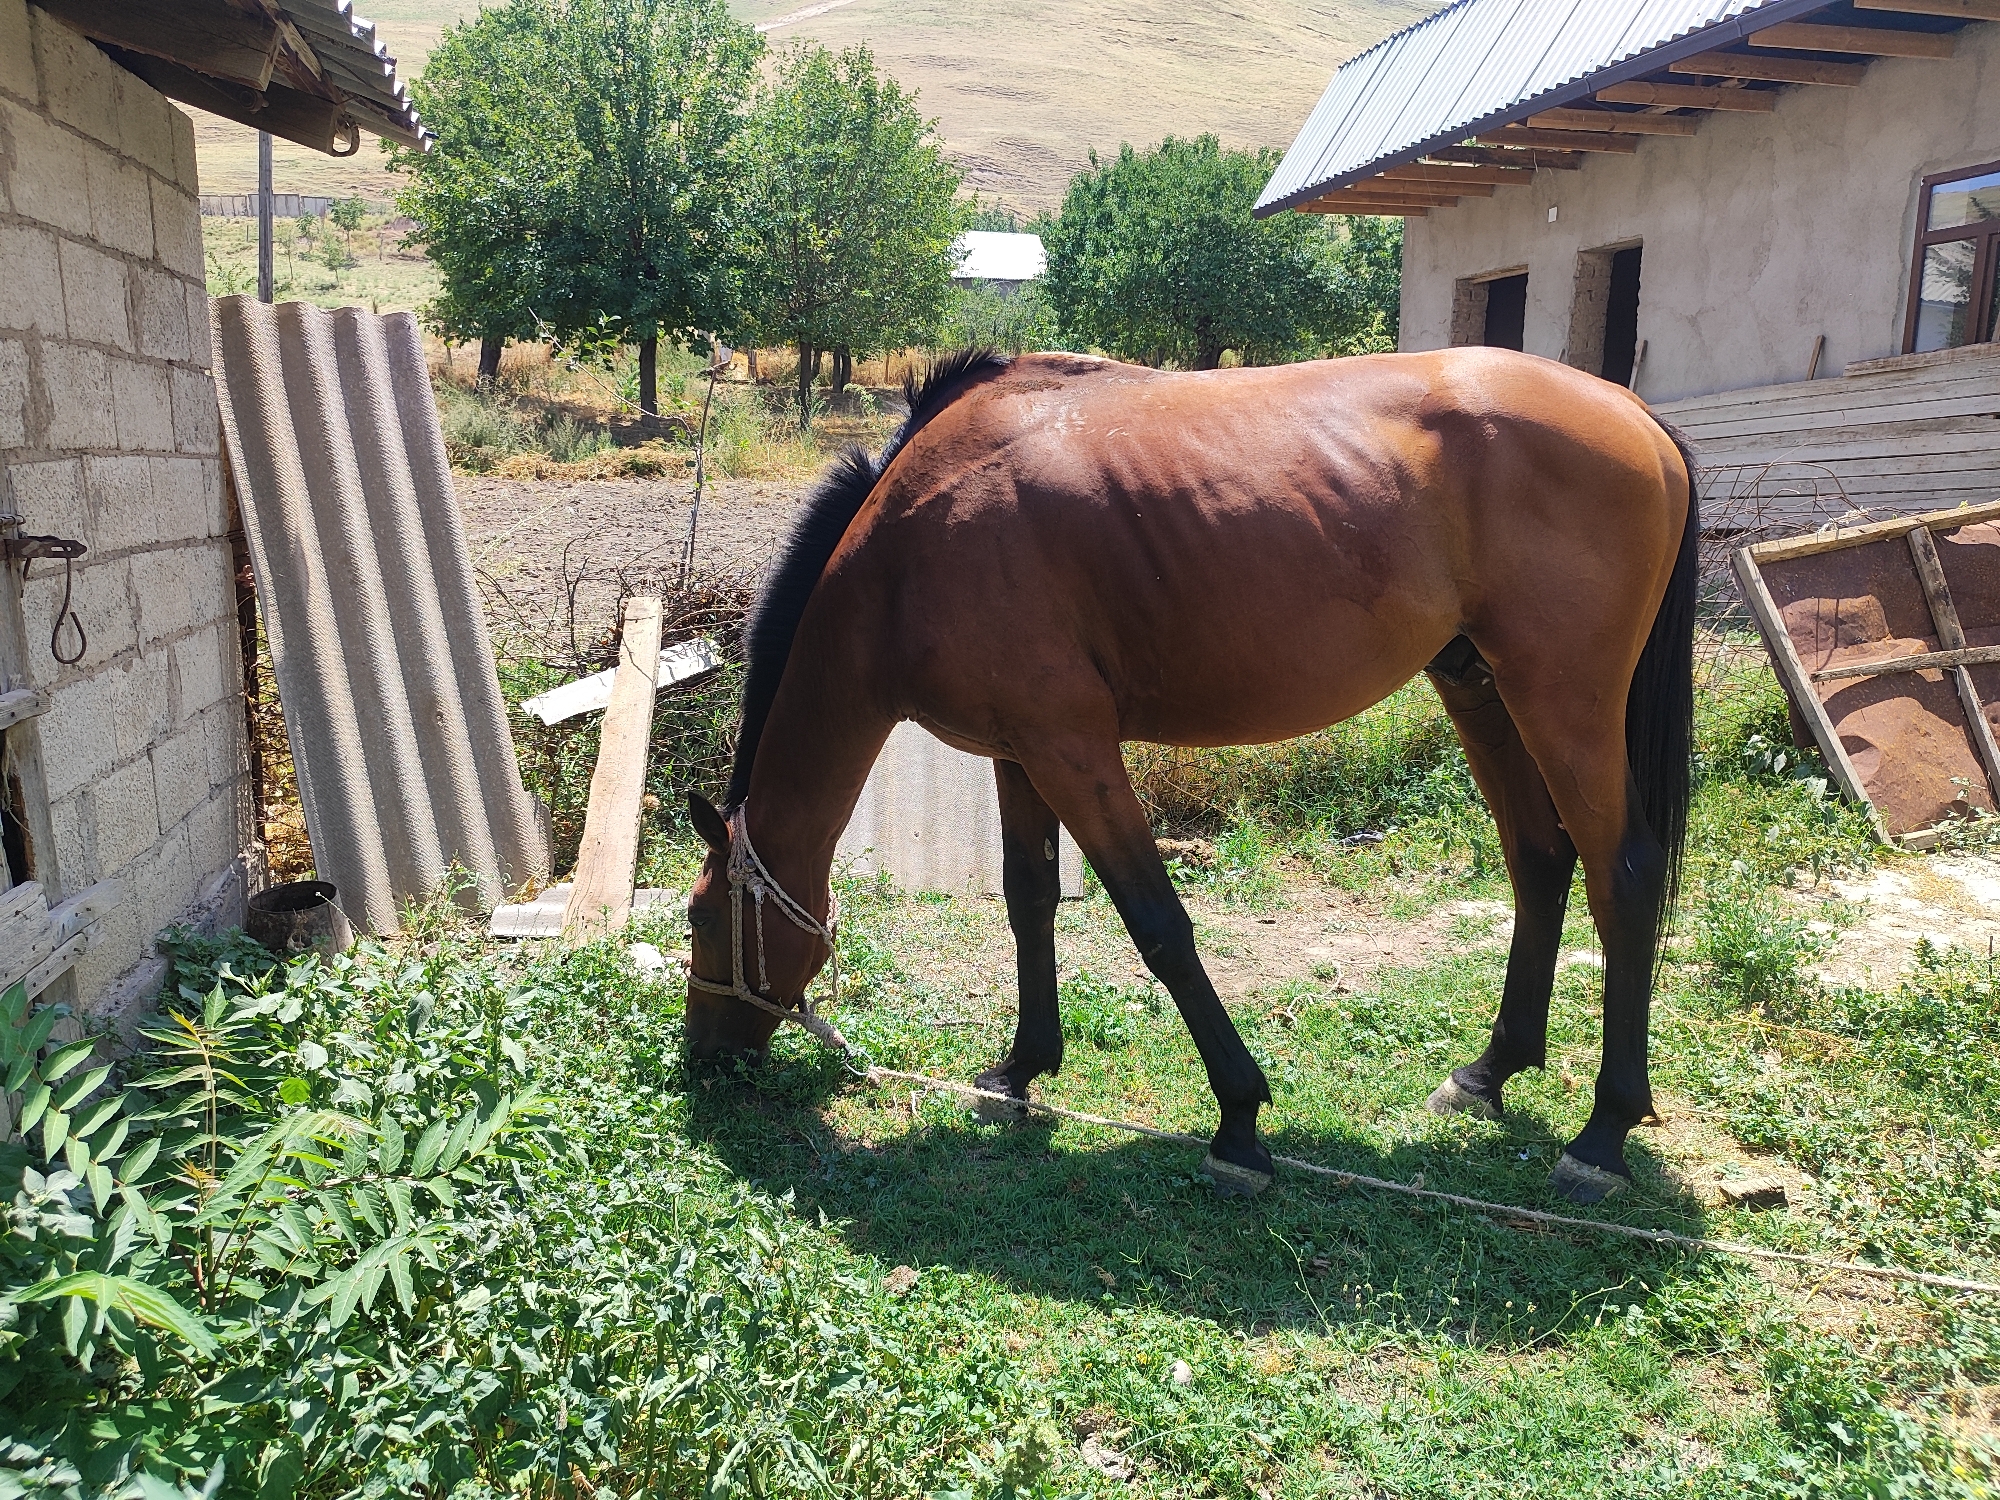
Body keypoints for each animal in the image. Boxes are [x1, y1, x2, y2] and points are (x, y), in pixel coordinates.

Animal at [683, 346, 1696, 1206]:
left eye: (702, 918)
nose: (703, 1058)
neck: (917, 536)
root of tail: (1635, 413)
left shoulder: (1073, 749)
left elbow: (1158, 925)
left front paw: (1239, 1120)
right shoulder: (1020, 750)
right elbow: (1027, 901)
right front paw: (1020, 1071)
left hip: (1561, 702)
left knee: (1622, 874)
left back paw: (1602, 1135)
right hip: (1480, 688)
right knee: (1539, 860)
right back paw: (1489, 1074)